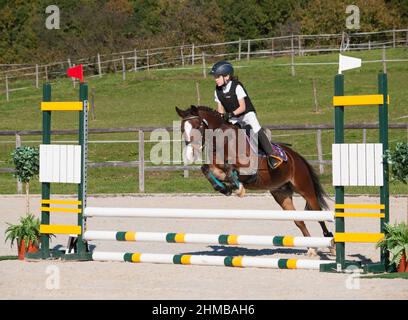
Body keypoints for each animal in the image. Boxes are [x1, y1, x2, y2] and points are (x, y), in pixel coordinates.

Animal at [175, 106, 334, 256]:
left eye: (197, 127)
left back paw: (331, 245)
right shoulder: (216, 166)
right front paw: (225, 188)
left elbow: (229, 167)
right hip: (281, 194)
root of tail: (297, 157)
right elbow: (206, 168)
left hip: (305, 189)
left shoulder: (248, 169)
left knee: (319, 215)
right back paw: (312, 248)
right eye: (182, 129)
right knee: (299, 220)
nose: (189, 155)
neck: (224, 141)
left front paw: (237, 187)